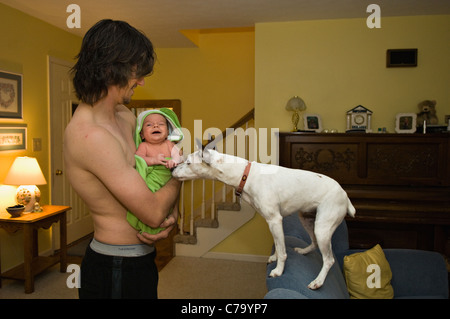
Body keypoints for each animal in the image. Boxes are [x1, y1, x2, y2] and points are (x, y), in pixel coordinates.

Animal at [172, 148, 356, 290]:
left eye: (188, 162)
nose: (172, 171)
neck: (245, 175)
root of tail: (345, 195)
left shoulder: (275, 220)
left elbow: (282, 251)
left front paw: (278, 270)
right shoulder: (272, 223)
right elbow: (277, 245)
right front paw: (274, 257)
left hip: (322, 228)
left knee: (329, 260)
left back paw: (318, 282)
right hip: (308, 221)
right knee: (315, 244)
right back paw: (304, 251)